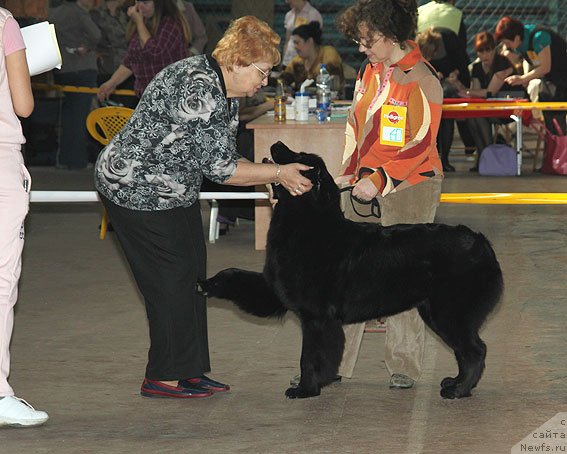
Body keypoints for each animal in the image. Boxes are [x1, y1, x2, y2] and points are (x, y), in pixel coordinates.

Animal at [199, 142, 502, 400]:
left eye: (299, 156)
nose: (276, 143)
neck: (307, 224)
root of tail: (481, 241)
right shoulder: (276, 290)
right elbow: (234, 275)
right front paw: (207, 283)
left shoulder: (317, 317)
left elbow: (310, 357)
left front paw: (306, 389)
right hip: (436, 312)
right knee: (465, 350)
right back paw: (455, 382)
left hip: (449, 312)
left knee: (475, 349)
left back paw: (459, 390)